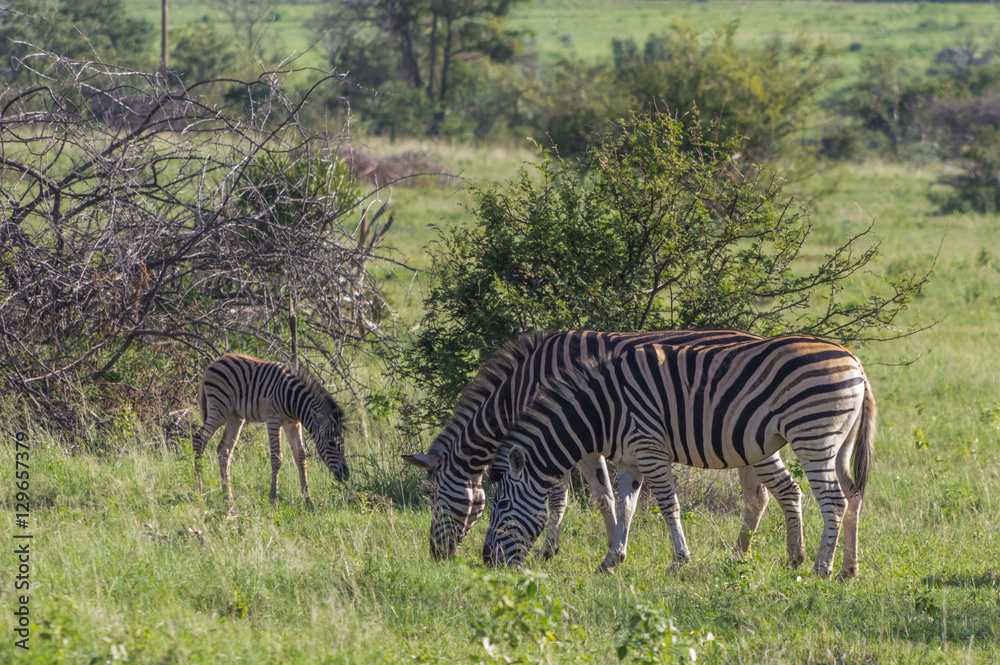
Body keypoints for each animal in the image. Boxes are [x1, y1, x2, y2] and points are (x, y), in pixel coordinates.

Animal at [192, 353, 348, 503]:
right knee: (199, 438)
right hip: (220, 408)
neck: (293, 399)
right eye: (331, 444)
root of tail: (215, 362)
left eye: (343, 443)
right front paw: (273, 496)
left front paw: (307, 498)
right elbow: (276, 457)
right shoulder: (273, 419)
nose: (346, 475)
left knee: (224, 450)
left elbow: (300, 457)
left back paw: (227, 497)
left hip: (235, 415)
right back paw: (199, 490)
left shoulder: (293, 424)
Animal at [402, 329, 804, 565]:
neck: (522, 384)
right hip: (744, 444)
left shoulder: (564, 436)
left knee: (772, 493)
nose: (437, 557)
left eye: (435, 498)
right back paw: (740, 554)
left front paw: (551, 550)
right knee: (758, 497)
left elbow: (564, 497)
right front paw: (615, 543)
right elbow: (607, 497)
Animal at [482, 336, 876, 579]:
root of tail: (856, 362)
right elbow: (625, 506)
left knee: (833, 501)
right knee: (852, 495)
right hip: (838, 445)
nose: (486, 561)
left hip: (813, 437)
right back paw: (845, 569)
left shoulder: (650, 449)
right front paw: (612, 559)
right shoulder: (630, 459)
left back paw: (822, 568)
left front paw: (679, 561)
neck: (603, 409)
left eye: (500, 505)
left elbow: (668, 505)